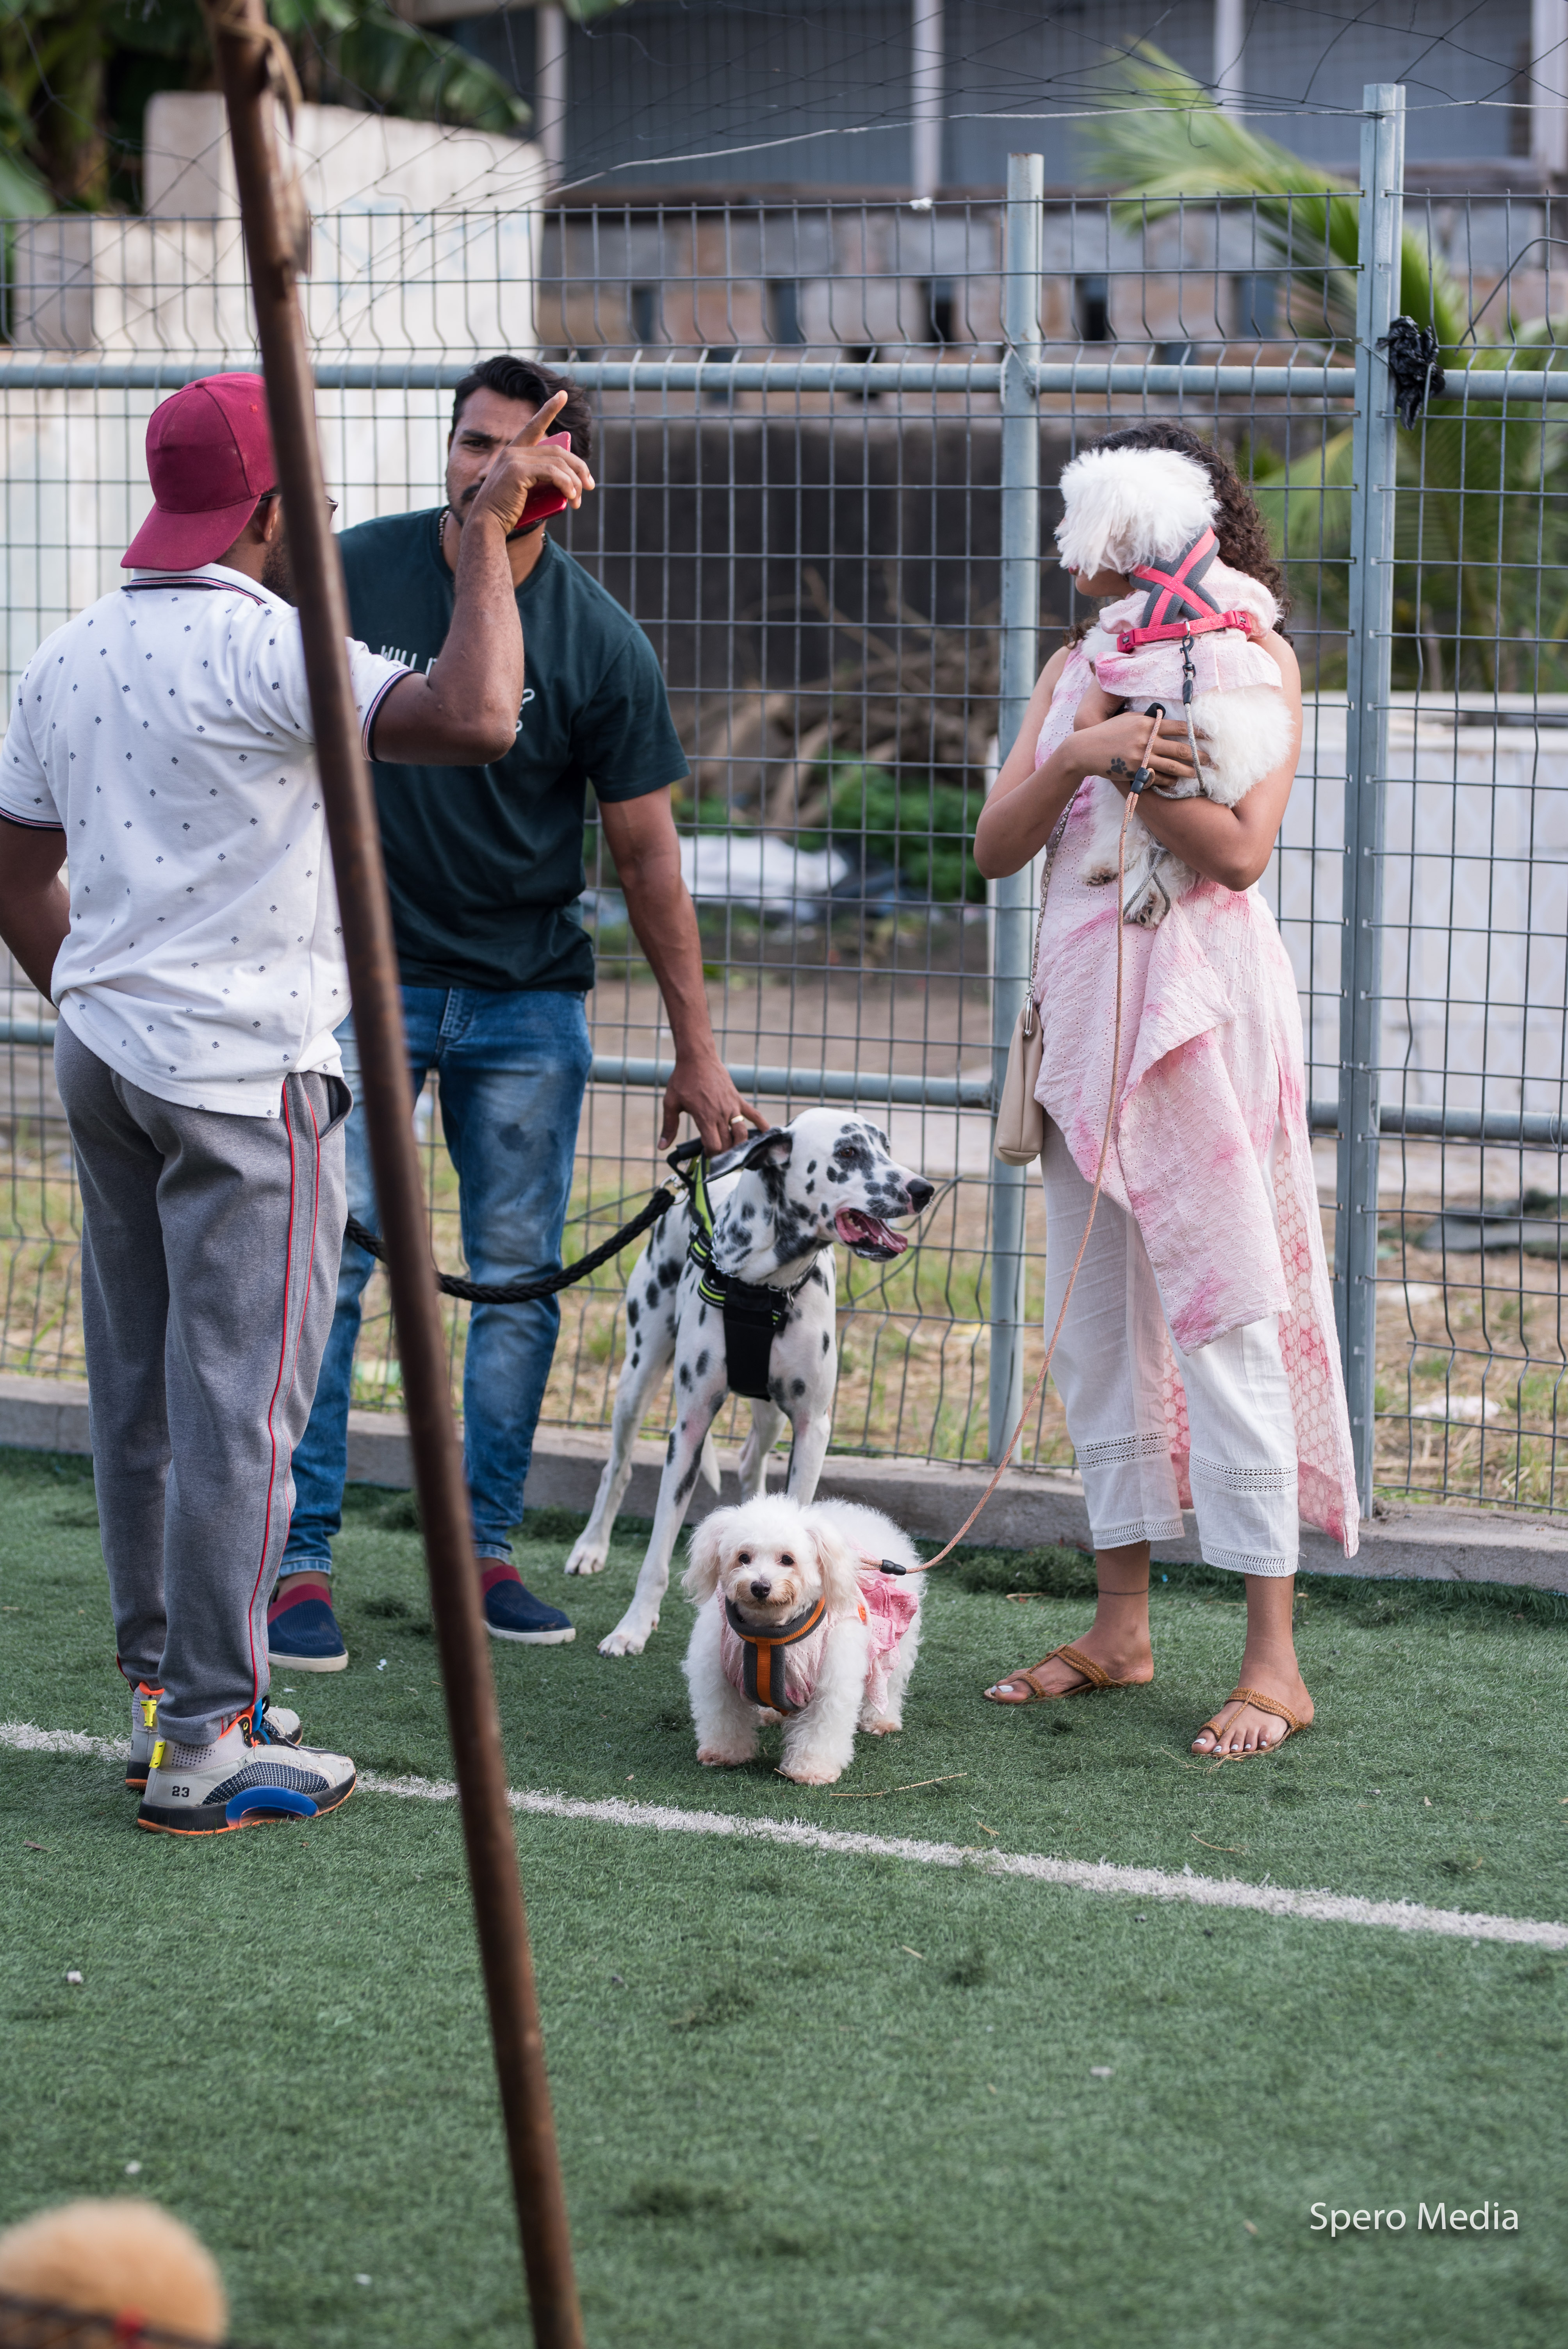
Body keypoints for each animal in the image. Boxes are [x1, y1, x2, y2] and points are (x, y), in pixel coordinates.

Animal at [563, 1108, 933, 1658]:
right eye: (847, 1153)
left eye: (886, 1146)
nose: (922, 1188)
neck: (765, 1286)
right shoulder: (689, 1430)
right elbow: (655, 1554)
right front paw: (632, 1628)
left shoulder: (811, 1426)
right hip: (635, 1379)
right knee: (617, 1467)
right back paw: (590, 1547)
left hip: (771, 1416)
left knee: (749, 1462)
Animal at [681, 1495, 923, 1785]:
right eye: (743, 1557)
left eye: (787, 1559)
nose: (760, 1587)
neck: (768, 1634)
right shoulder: (717, 1678)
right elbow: (724, 1718)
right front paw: (724, 1754)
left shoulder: (831, 1684)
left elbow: (820, 1731)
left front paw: (812, 1770)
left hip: (896, 1645)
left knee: (888, 1685)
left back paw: (880, 1721)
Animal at [1055, 443, 1293, 927]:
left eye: (1073, 510)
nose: (1058, 534)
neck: (1174, 569)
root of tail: (1215, 788)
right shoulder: (1254, 600)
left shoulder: (1124, 625)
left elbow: (1103, 640)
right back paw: (1133, 890)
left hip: (1133, 788)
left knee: (1137, 846)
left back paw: (1113, 876)